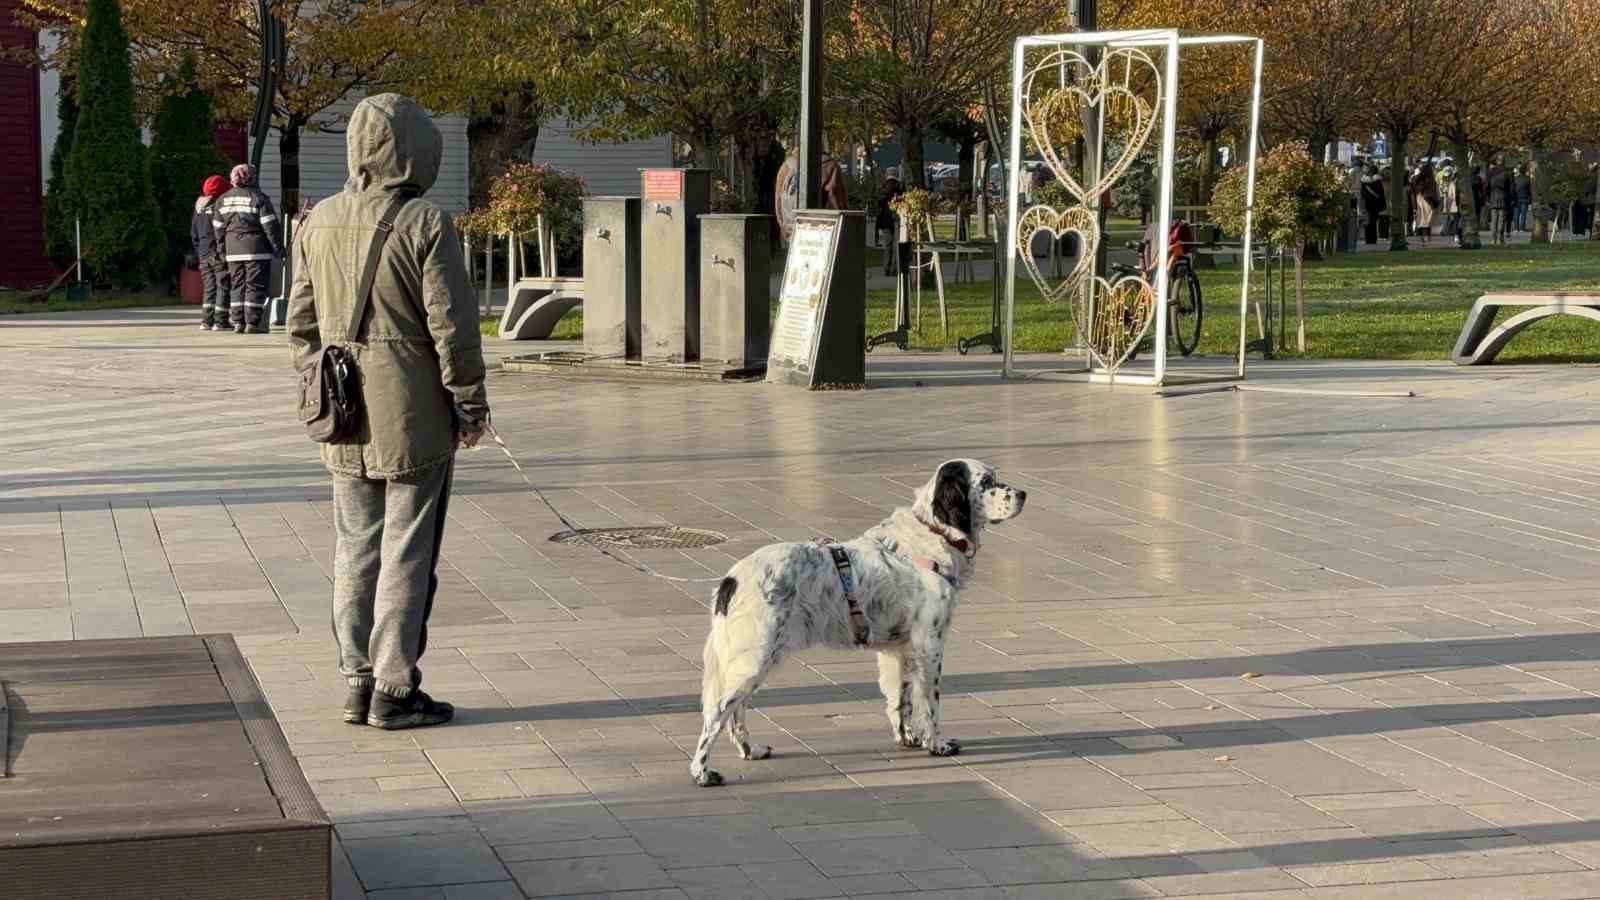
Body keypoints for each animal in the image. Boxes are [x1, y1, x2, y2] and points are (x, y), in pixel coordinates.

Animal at [688, 458, 1024, 781]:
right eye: (987, 483)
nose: (1023, 494)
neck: (934, 533)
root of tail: (732, 579)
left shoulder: (899, 649)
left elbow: (900, 697)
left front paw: (908, 738)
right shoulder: (929, 645)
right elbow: (930, 703)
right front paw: (937, 744)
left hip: (754, 662)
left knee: (737, 711)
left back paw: (750, 750)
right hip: (755, 658)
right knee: (717, 713)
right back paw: (702, 772)